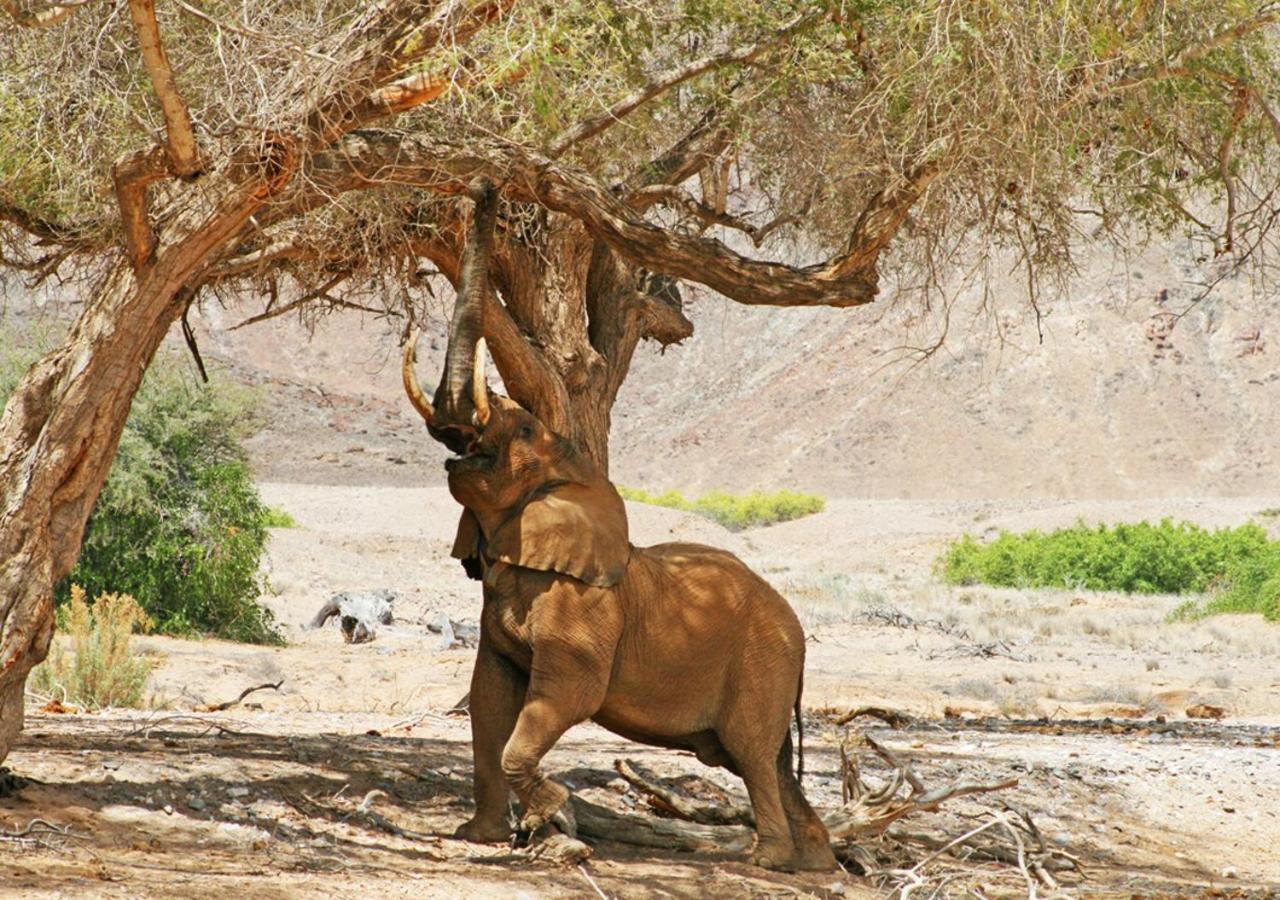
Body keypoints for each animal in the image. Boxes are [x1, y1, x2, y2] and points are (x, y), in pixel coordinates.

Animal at [404, 177, 834, 870]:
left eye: (523, 429)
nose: (484, 185)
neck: (570, 479)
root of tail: (798, 631)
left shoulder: (583, 610)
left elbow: (561, 699)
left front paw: (553, 812)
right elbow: (489, 702)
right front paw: (482, 837)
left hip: (762, 662)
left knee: (752, 753)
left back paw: (765, 861)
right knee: (769, 761)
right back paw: (813, 865)